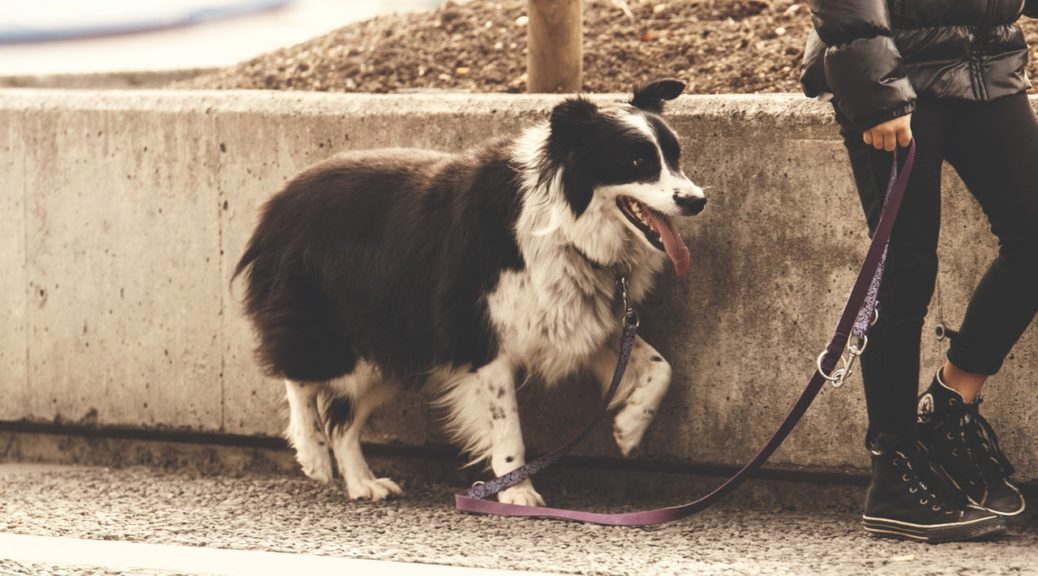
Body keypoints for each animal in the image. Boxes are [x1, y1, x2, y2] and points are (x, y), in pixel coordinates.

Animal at [232, 79, 709, 504]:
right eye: (637, 162)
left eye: (675, 157)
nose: (697, 201)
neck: (564, 224)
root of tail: (276, 204)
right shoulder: (482, 335)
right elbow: (507, 424)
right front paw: (517, 492)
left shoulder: (580, 319)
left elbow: (661, 367)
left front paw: (629, 429)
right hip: (330, 322)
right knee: (299, 376)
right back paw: (313, 455)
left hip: (397, 342)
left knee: (343, 420)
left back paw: (362, 483)